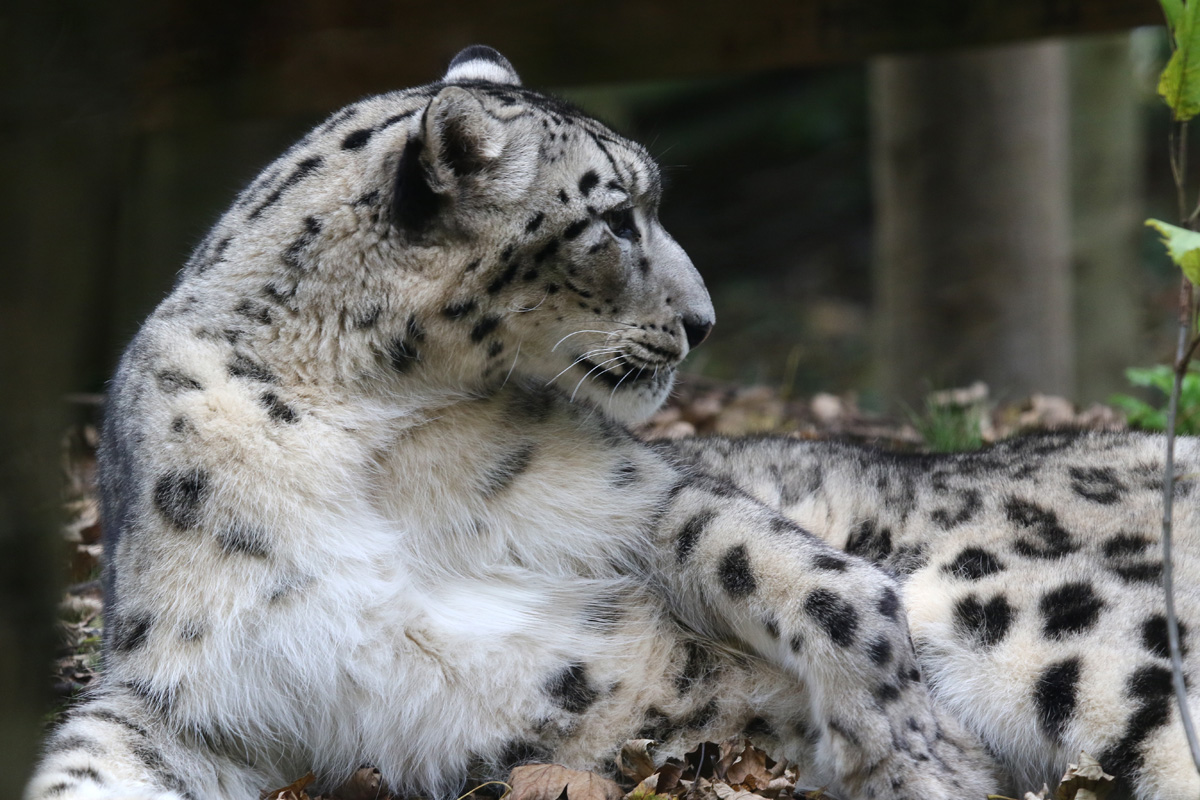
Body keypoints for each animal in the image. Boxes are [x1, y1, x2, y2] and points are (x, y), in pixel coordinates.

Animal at [24, 45, 1200, 800]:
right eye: (615, 217)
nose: (703, 318)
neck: (364, 421)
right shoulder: (190, 688)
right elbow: (91, 760)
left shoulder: (633, 492)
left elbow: (796, 570)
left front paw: (904, 753)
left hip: (1053, 617)